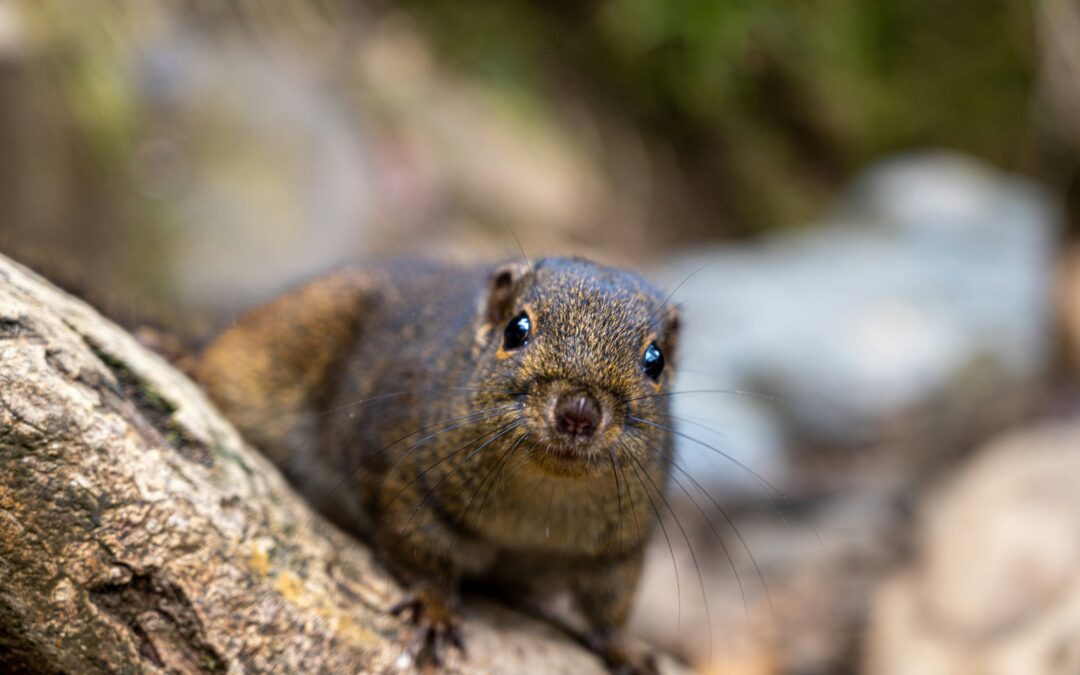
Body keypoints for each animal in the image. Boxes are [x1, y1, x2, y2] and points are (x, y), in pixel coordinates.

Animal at [195, 257, 680, 674]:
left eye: (655, 361)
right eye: (516, 330)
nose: (578, 413)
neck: (544, 495)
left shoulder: (619, 548)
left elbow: (610, 607)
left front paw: (627, 648)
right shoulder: (406, 479)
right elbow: (420, 550)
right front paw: (435, 609)